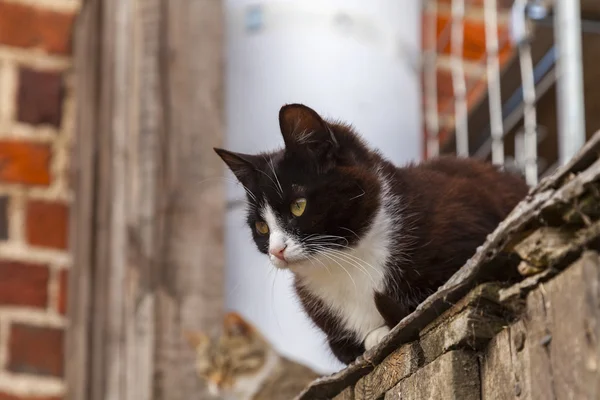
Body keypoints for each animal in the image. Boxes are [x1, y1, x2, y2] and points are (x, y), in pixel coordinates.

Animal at [214, 104, 524, 366]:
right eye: (261, 227)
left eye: (298, 206)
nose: (276, 250)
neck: (344, 264)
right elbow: (340, 346)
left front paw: (380, 331)